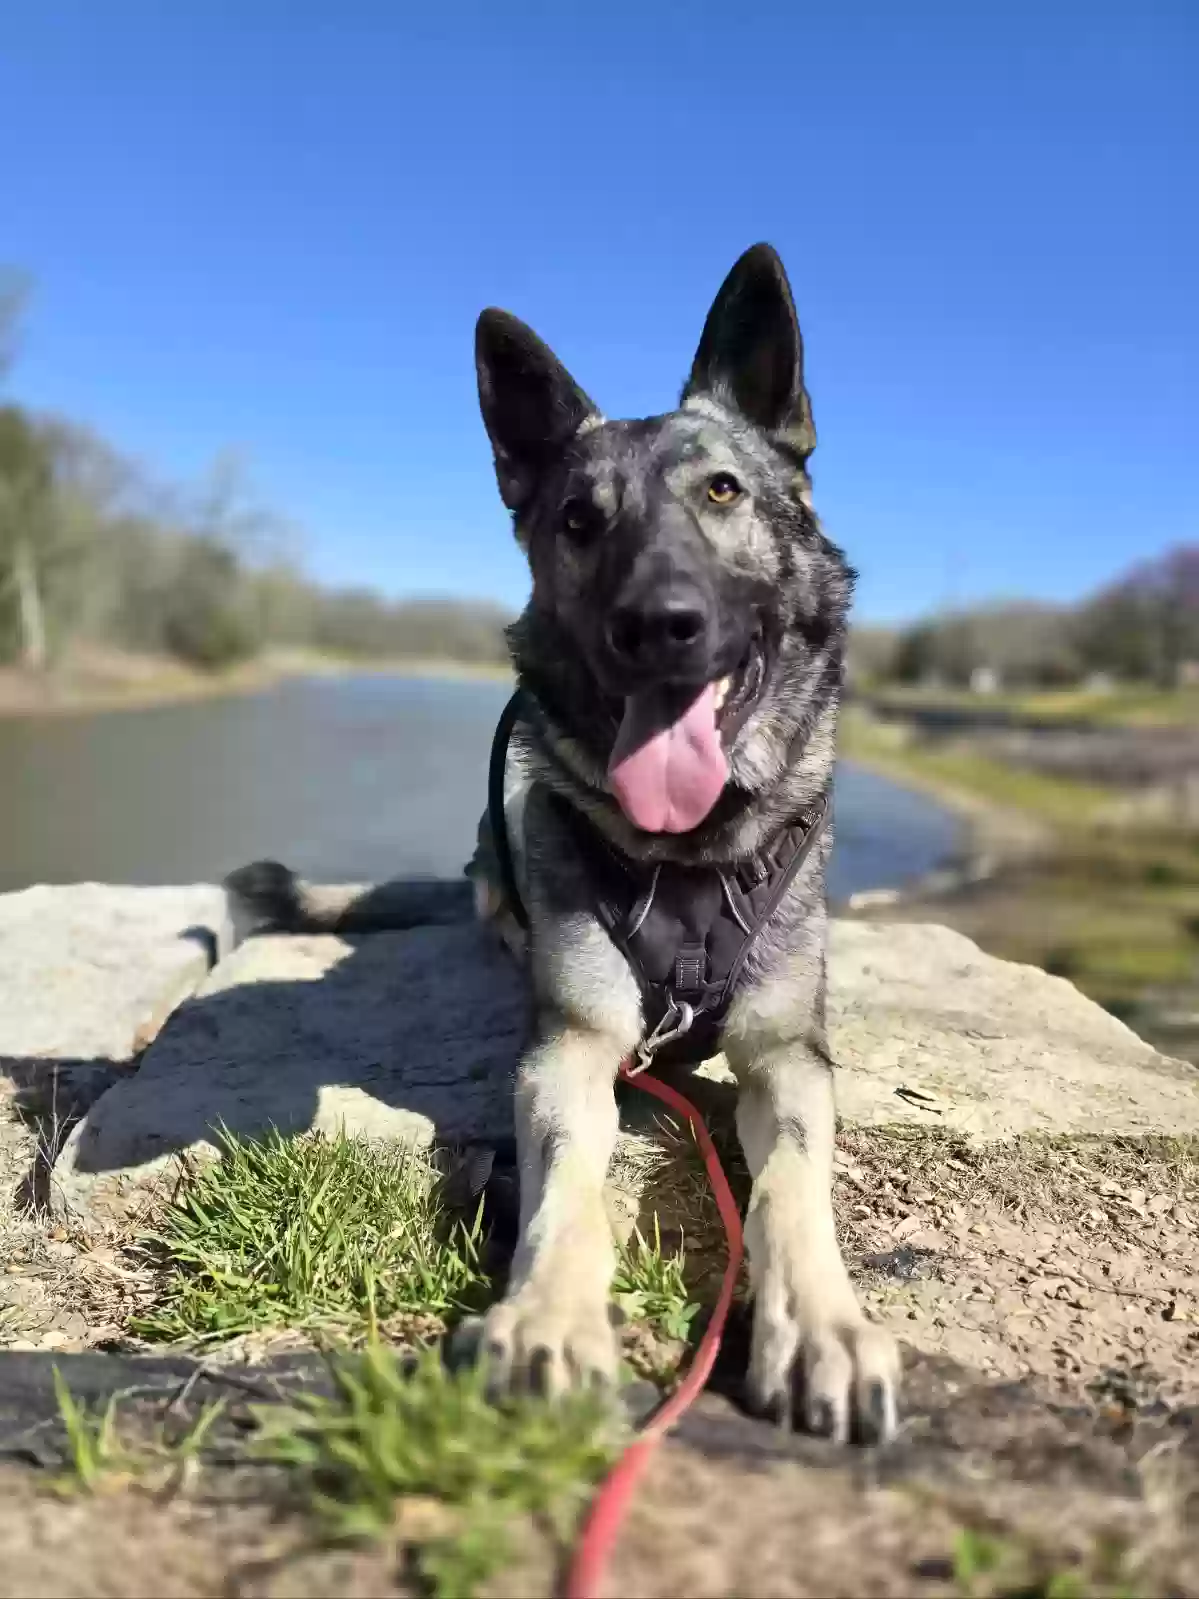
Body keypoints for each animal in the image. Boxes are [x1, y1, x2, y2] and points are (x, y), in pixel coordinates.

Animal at [225, 243, 901, 1445]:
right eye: (580, 522)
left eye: (720, 491)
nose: (656, 624)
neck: (691, 859)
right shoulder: (572, 1051)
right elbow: (568, 1189)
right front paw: (545, 1317)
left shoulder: (787, 1057)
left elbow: (791, 1185)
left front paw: (822, 1323)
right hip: (499, 846)